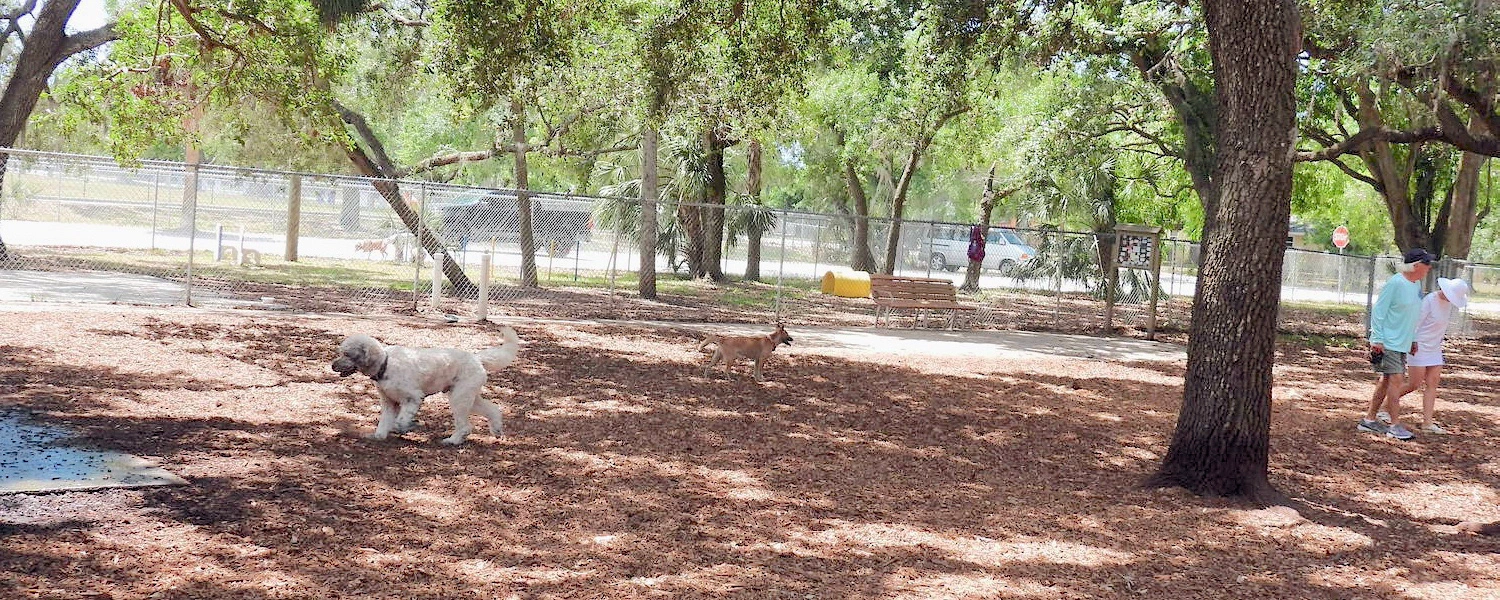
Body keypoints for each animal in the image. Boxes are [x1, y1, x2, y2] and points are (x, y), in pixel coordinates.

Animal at [330, 325, 522, 444]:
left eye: (347, 354)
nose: (332, 365)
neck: (385, 363)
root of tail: (477, 358)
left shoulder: (413, 398)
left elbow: (400, 421)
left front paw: (405, 427)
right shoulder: (389, 403)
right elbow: (384, 422)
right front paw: (378, 436)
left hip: (459, 398)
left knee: (466, 426)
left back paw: (453, 440)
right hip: (468, 396)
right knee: (493, 409)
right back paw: (496, 430)